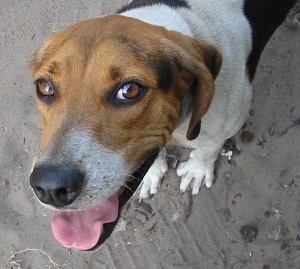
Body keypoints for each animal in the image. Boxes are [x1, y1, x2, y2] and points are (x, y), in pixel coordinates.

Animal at [29, 0, 296, 250]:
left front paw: (197, 170)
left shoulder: (225, 126)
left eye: (129, 90)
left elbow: (207, 150)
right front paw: (153, 173)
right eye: (45, 87)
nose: (51, 187)